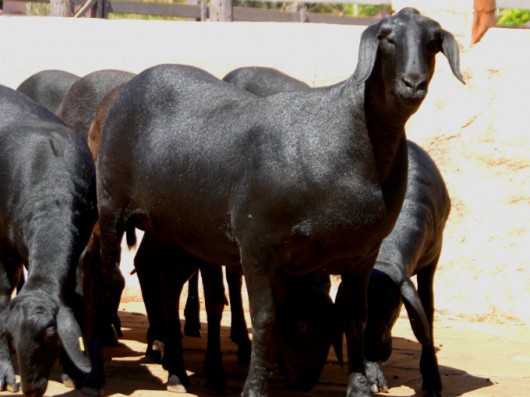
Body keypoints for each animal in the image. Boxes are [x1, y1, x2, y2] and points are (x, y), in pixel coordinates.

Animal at [0, 84, 96, 396]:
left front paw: (73, 371)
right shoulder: (4, 249)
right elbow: (2, 297)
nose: (31, 389)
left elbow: (76, 300)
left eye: (51, 334)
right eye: (12, 335)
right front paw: (5, 372)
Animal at [96, 7, 462, 394]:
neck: (350, 138)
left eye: (433, 42)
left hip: (174, 227)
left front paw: (360, 384)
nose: (413, 84)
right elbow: (264, 317)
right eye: (387, 38)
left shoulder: (363, 253)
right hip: (111, 207)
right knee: (108, 277)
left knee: (161, 278)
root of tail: (138, 80)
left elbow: (353, 316)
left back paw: (177, 371)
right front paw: (254, 386)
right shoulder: (258, 245)